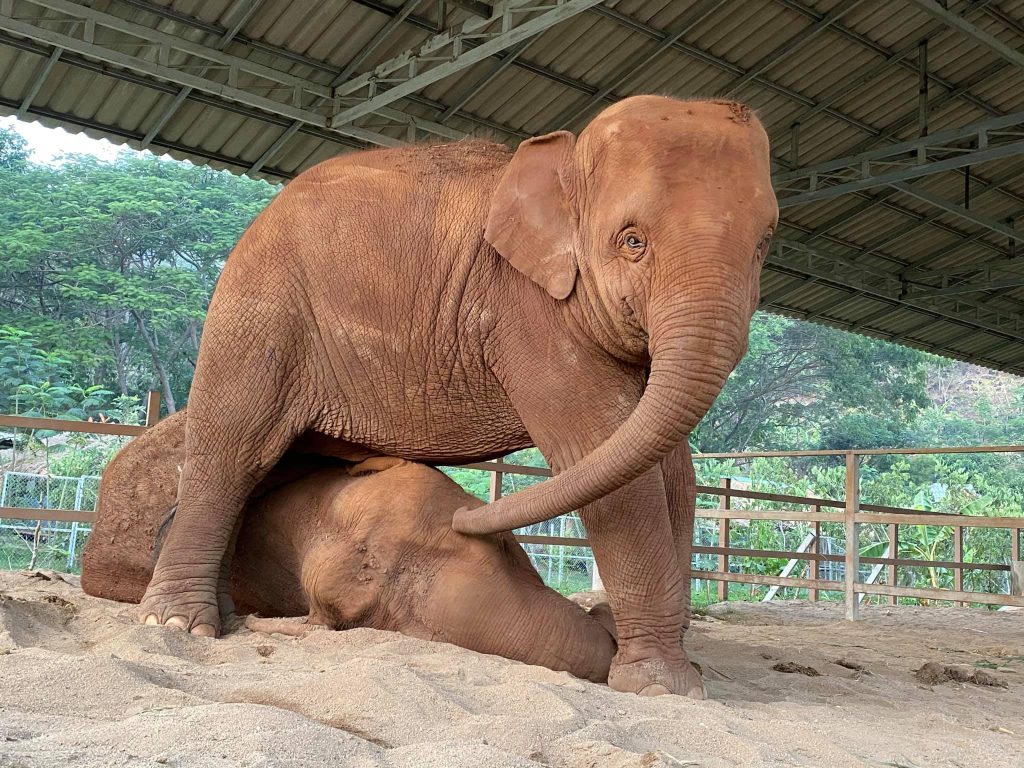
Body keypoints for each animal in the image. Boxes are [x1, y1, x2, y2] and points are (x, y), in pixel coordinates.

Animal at [138, 93, 774, 700]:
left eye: (764, 246)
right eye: (632, 241)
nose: (467, 518)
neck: (564, 160)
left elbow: (673, 469)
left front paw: (671, 671)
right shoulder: (528, 310)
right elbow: (607, 455)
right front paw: (663, 688)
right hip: (258, 313)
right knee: (233, 452)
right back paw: (175, 626)